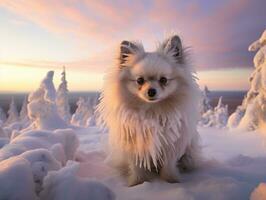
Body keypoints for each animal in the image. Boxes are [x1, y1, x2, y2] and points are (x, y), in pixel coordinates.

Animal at [97, 34, 202, 186]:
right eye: (140, 80)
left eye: (163, 80)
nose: (151, 91)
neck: (152, 111)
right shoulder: (135, 145)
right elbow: (137, 167)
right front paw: (137, 183)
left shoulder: (171, 145)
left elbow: (169, 165)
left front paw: (171, 181)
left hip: (189, 155)